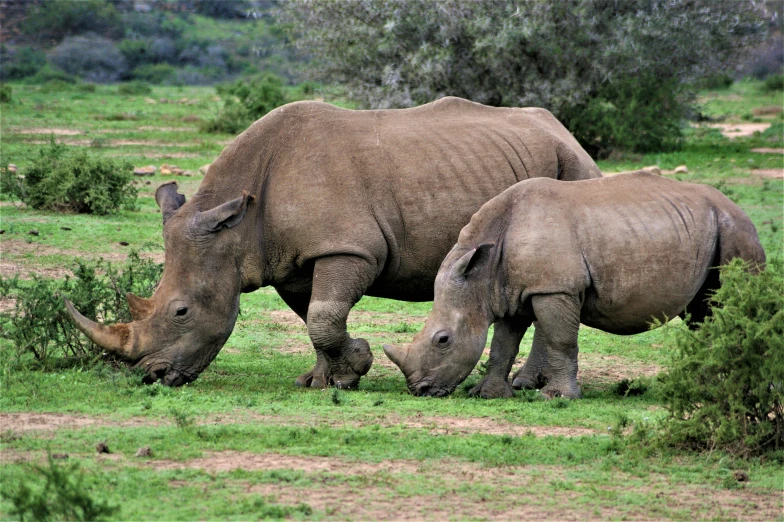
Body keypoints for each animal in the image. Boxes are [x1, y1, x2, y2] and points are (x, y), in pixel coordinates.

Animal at [64, 96, 600, 386]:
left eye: (181, 312)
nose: (151, 376)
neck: (237, 225)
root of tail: (560, 126)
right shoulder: (288, 259)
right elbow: (314, 316)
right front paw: (324, 380)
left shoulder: (349, 247)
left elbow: (324, 316)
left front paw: (357, 365)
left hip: (573, 164)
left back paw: (530, 385)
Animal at [386, 172, 764, 398]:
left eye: (443, 340)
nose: (419, 389)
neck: (481, 275)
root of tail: (740, 209)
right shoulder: (507, 290)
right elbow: (502, 344)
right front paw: (488, 394)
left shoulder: (555, 288)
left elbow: (560, 340)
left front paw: (558, 396)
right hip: (710, 229)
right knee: (704, 312)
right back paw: (704, 386)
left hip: (735, 230)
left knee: (732, 305)